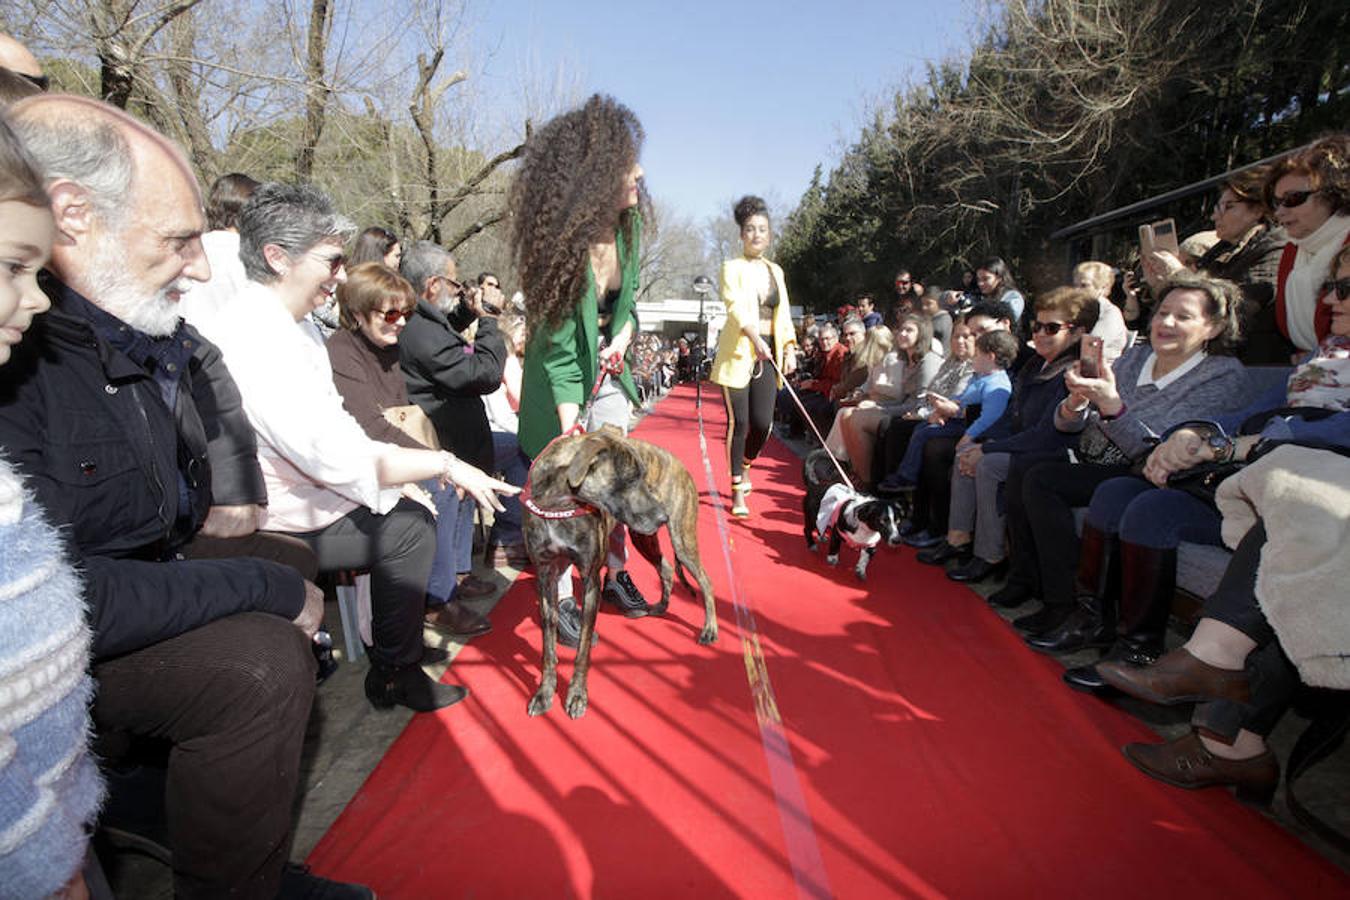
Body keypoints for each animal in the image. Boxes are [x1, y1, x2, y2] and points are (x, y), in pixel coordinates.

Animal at [523, 426, 723, 723]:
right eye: (630, 478)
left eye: (642, 475)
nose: (662, 516)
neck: (558, 503)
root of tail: (678, 463)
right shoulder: (546, 576)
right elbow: (548, 649)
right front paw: (544, 693)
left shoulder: (591, 579)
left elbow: (583, 650)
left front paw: (577, 695)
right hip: (644, 537)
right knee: (665, 567)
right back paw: (660, 606)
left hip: (681, 539)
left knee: (706, 580)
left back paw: (710, 629)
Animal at [799, 447, 907, 580]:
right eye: (881, 521)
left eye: (898, 521)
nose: (897, 540)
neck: (865, 529)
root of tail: (815, 484)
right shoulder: (837, 533)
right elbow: (834, 547)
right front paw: (832, 559)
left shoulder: (871, 546)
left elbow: (865, 558)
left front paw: (861, 570)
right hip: (812, 517)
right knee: (807, 529)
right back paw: (812, 544)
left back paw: (822, 536)